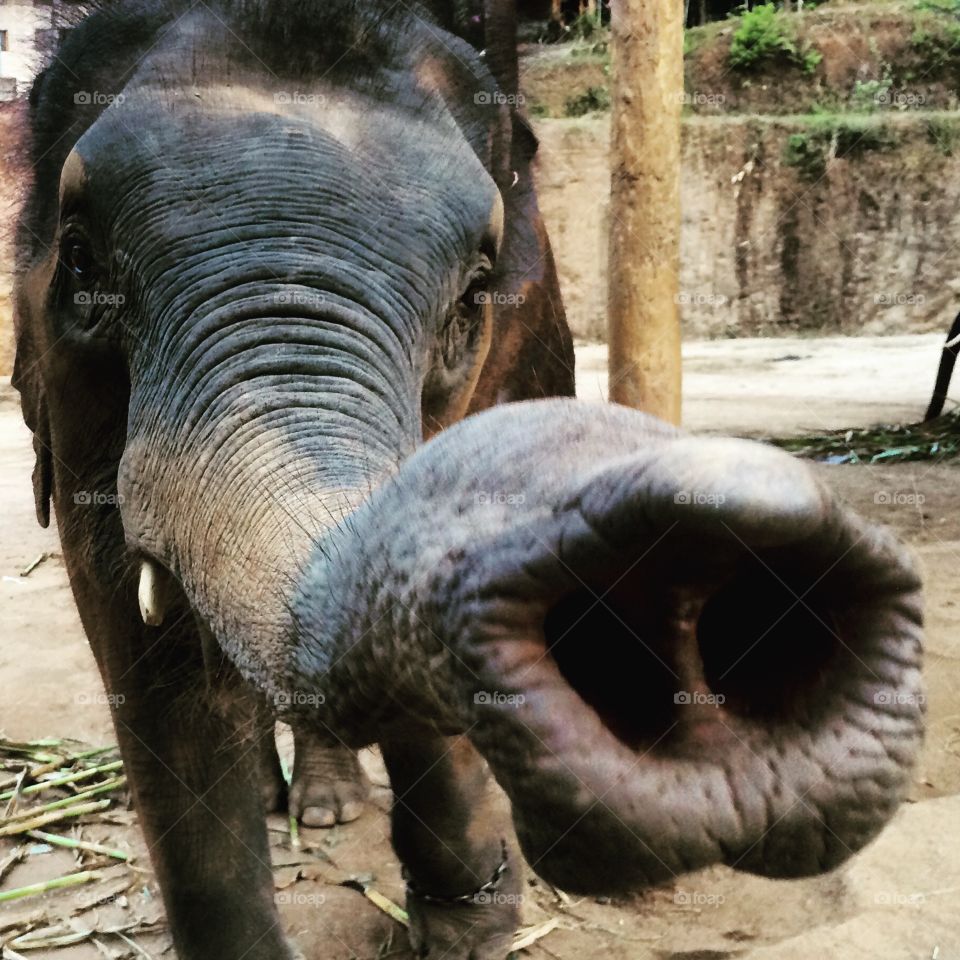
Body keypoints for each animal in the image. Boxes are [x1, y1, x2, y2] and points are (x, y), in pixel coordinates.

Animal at [12, 1, 924, 958]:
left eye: (471, 296)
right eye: (81, 261)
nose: (700, 539)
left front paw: (475, 923)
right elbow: (143, 648)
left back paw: (329, 806)